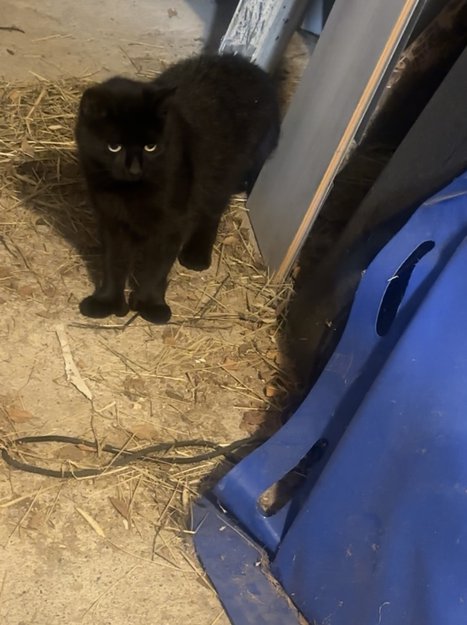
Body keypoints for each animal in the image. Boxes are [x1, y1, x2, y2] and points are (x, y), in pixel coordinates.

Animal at [75, 53, 280, 324]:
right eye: (114, 146)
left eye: (150, 147)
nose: (134, 169)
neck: (128, 193)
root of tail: (249, 65)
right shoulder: (111, 221)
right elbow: (113, 262)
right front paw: (106, 301)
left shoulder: (171, 224)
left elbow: (156, 267)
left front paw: (150, 305)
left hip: (223, 175)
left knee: (211, 212)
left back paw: (196, 256)